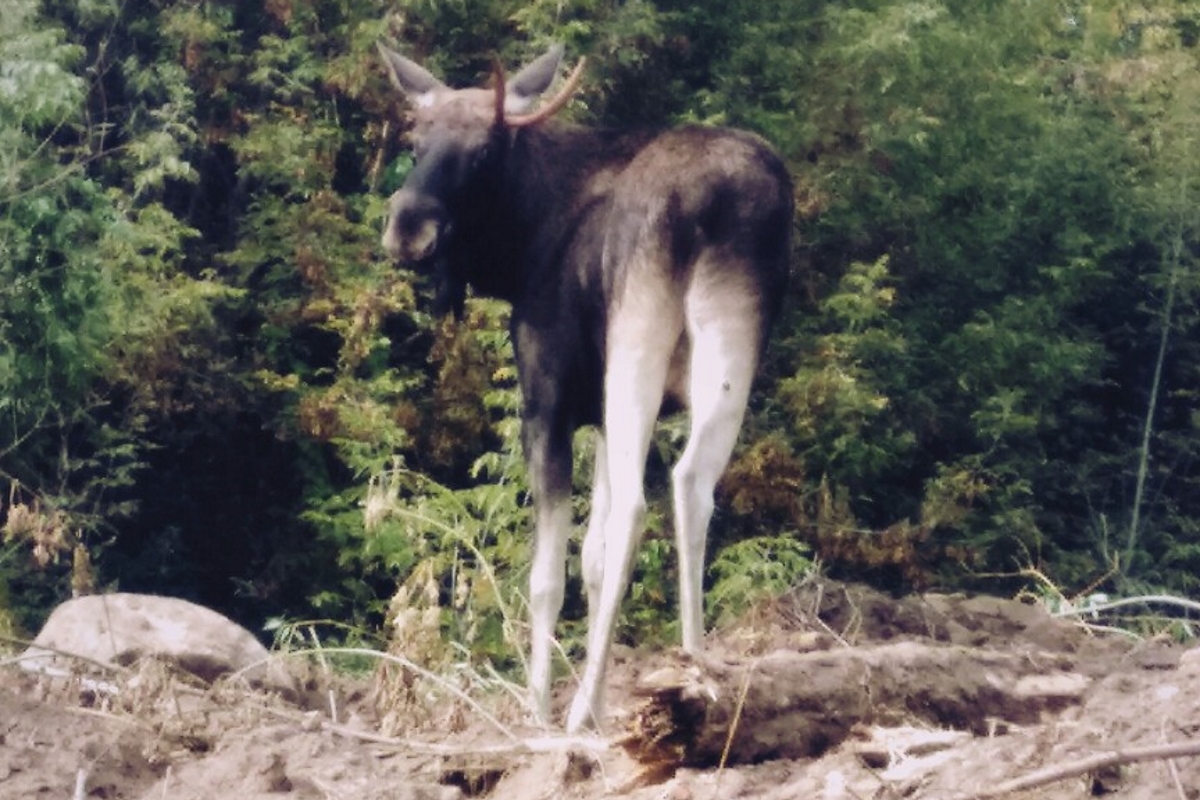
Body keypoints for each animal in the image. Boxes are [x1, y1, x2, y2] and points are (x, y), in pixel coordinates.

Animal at [374, 42, 787, 734]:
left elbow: (548, 574)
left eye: (484, 150)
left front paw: (541, 706)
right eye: (416, 137)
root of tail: (711, 201)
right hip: (733, 339)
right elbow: (590, 559)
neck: (521, 244)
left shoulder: (549, 400)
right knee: (693, 482)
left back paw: (580, 709)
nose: (408, 228)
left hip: (636, 337)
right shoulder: (593, 413)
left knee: (639, 508)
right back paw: (696, 663)